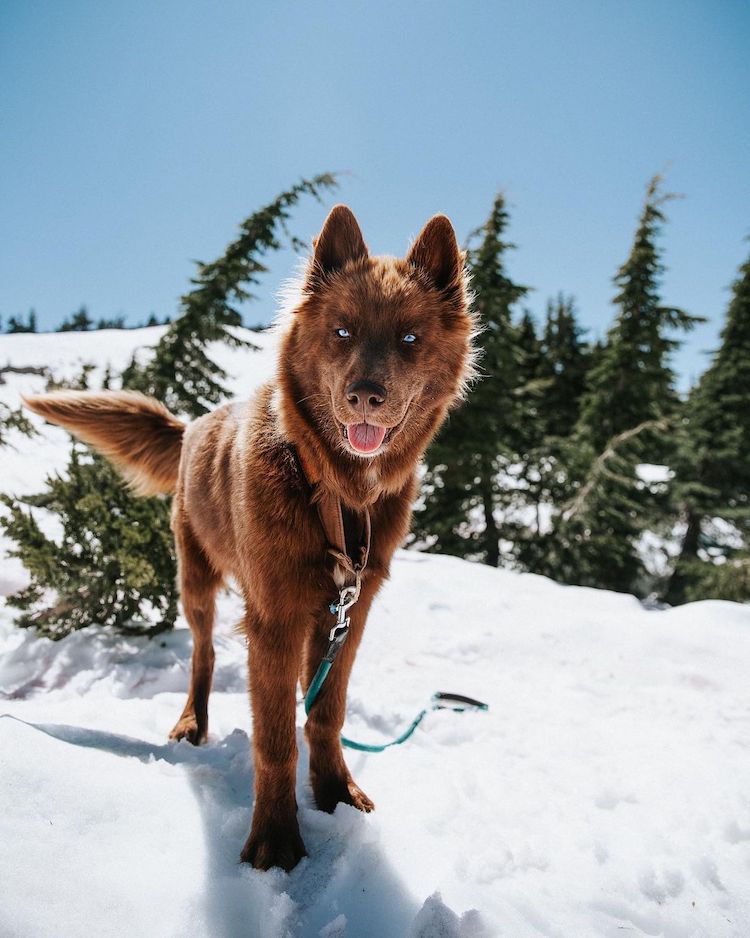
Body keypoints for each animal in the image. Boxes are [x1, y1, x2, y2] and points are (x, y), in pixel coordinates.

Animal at [26, 205, 478, 872]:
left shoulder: (351, 611)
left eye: (410, 339)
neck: (329, 490)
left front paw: (336, 794)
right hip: (196, 579)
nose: (365, 397)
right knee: (204, 654)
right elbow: (274, 739)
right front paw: (275, 842)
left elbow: (324, 714)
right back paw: (192, 723)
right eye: (342, 331)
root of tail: (192, 425)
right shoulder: (275, 615)